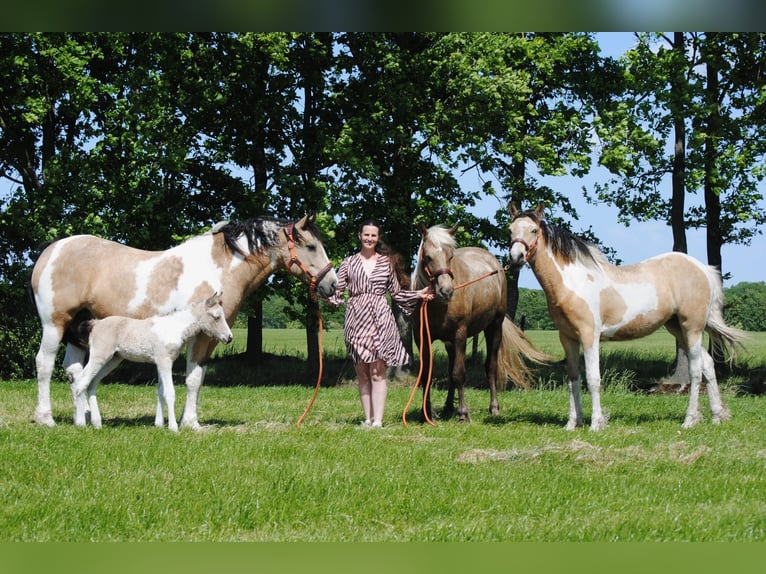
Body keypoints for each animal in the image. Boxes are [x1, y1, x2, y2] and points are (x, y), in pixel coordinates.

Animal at [71, 291, 233, 431]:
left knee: (91, 384)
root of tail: (95, 324)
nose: (229, 337)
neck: (174, 328)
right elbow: (169, 392)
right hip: (99, 357)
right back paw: (81, 423)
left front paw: (159, 425)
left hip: (113, 360)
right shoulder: (164, 361)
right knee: (81, 382)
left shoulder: (162, 363)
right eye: (217, 317)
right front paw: (173, 427)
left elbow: (160, 391)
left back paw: (97, 423)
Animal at [411, 224, 549, 422]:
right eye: (428, 257)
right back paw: (447, 407)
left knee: (490, 367)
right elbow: (426, 375)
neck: (436, 305)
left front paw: (463, 414)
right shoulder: (422, 338)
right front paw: (426, 414)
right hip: (450, 342)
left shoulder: (460, 335)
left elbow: (459, 374)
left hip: (494, 327)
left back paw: (493, 407)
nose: (446, 291)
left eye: (450, 256)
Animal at [507, 202, 746, 431]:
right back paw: (716, 417)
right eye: (510, 230)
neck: (573, 282)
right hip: (677, 328)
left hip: (692, 328)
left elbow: (593, 379)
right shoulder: (568, 338)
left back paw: (689, 420)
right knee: (708, 364)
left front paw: (596, 424)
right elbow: (573, 379)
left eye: (533, 230)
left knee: (696, 370)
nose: (516, 257)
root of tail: (703, 269)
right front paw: (572, 424)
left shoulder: (589, 336)